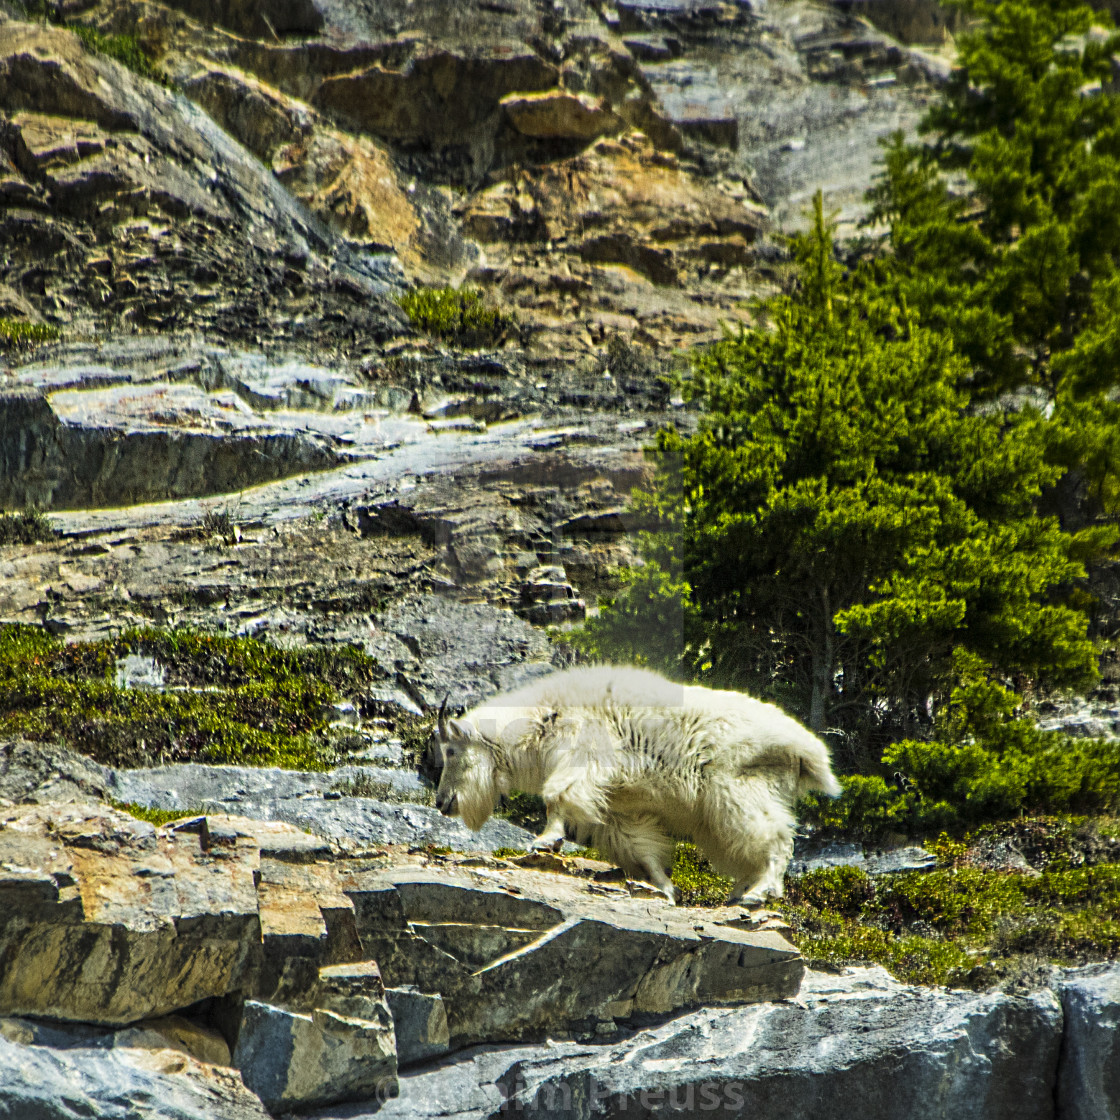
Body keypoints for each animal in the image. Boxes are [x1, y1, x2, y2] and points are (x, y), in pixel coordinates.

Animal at [432, 663, 837, 900]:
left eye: (450, 751)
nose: (441, 803)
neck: (540, 720)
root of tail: (809, 751)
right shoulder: (621, 806)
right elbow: (641, 847)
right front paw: (667, 888)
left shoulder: (583, 753)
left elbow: (558, 797)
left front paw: (545, 841)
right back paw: (741, 891)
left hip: (739, 788)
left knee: (775, 837)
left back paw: (759, 892)